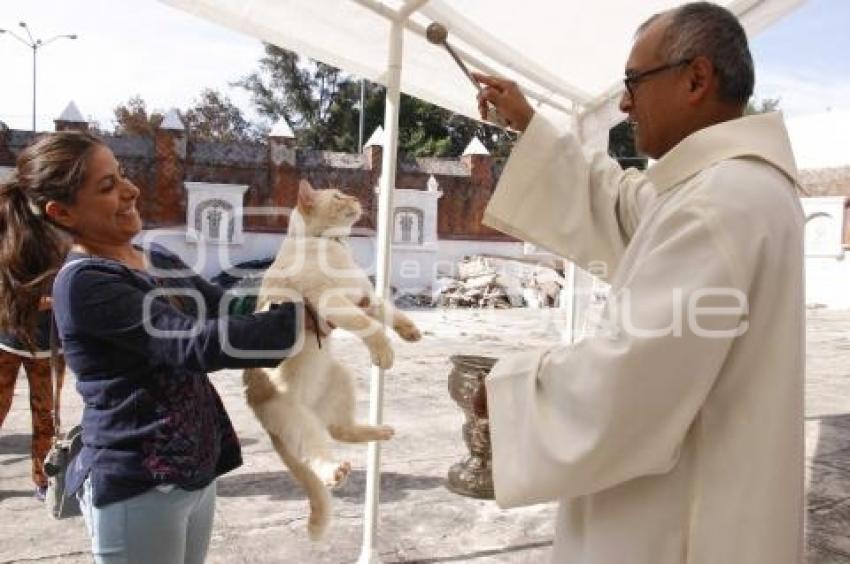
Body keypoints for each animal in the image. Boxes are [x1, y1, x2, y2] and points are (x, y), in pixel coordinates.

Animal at [243, 178, 420, 540]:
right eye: (338, 196)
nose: (356, 198)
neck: (329, 244)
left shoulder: (365, 299)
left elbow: (389, 312)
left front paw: (409, 331)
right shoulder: (333, 304)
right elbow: (371, 327)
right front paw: (385, 351)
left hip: (341, 379)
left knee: (341, 429)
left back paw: (379, 431)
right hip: (299, 421)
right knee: (317, 452)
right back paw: (335, 471)